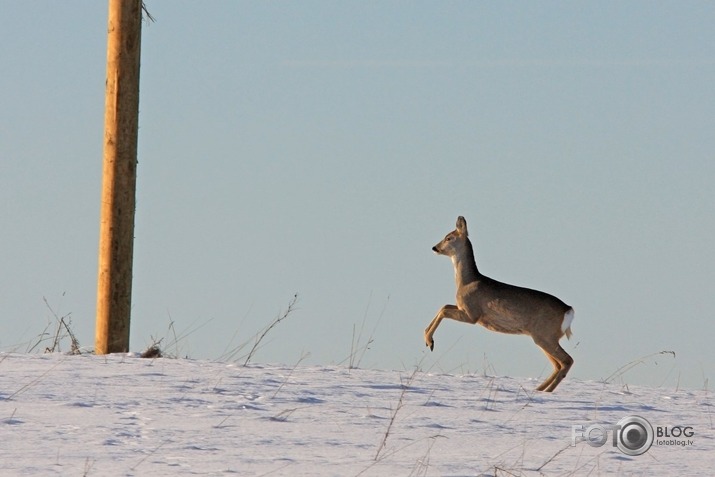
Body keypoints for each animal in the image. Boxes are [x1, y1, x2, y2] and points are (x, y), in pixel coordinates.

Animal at [426, 216, 576, 390]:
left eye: (449, 237)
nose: (435, 247)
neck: (467, 282)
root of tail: (568, 310)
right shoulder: (463, 309)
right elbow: (443, 306)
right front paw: (427, 339)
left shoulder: (472, 314)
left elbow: (444, 310)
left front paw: (429, 342)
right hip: (544, 336)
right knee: (558, 364)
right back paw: (538, 389)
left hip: (545, 334)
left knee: (567, 361)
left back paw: (544, 391)